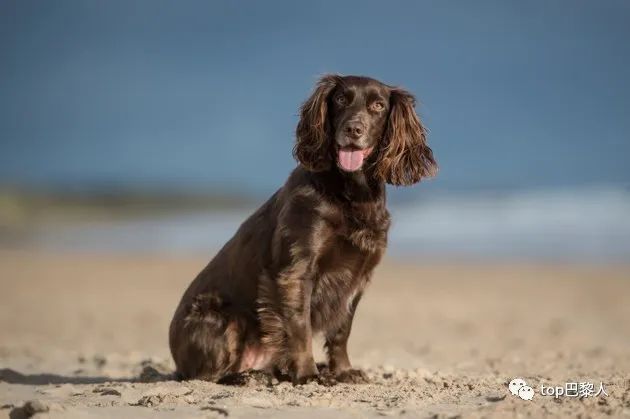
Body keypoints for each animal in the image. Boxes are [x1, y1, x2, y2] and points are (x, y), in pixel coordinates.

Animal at [169, 74, 440, 384]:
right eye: (341, 99)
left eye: (378, 105)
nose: (353, 129)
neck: (350, 192)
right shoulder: (296, 271)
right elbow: (300, 327)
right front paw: (307, 373)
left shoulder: (358, 277)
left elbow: (341, 330)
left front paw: (343, 371)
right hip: (221, 318)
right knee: (205, 375)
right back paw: (248, 376)